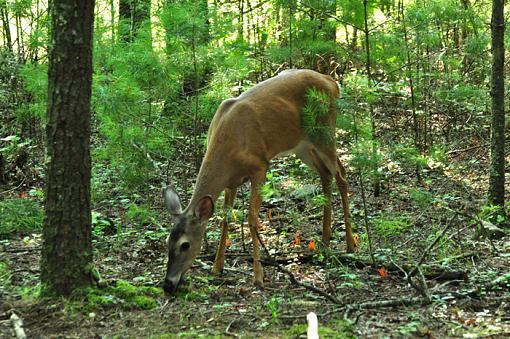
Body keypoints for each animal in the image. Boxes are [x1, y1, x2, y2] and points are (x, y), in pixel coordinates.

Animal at [162, 69, 354, 294]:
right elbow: (225, 219)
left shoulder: (260, 167)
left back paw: (351, 245)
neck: (229, 145)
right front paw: (217, 267)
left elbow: (252, 219)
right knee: (326, 175)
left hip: (324, 132)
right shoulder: (232, 181)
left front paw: (258, 277)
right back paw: (324, 241)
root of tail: (332, 82)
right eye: (167, 241)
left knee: (341, 175)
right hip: (303, 146)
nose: (168, 284)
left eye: (185, 245)